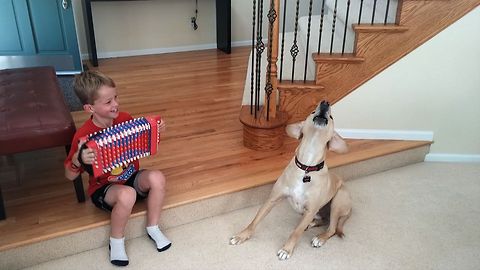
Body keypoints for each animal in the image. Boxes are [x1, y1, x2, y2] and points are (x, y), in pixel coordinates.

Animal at [231, 100, 350, 260]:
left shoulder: (310, 210)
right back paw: (312, 224)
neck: (307, 165)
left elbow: (296, 232)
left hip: (337, 201)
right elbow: (255, 220)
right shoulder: (272, 199)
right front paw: (242, 235)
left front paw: (286, 249)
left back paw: (320, 238)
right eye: (312, 111)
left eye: (331, 117)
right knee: (323, 221)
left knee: (331, 229)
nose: (325, 103)